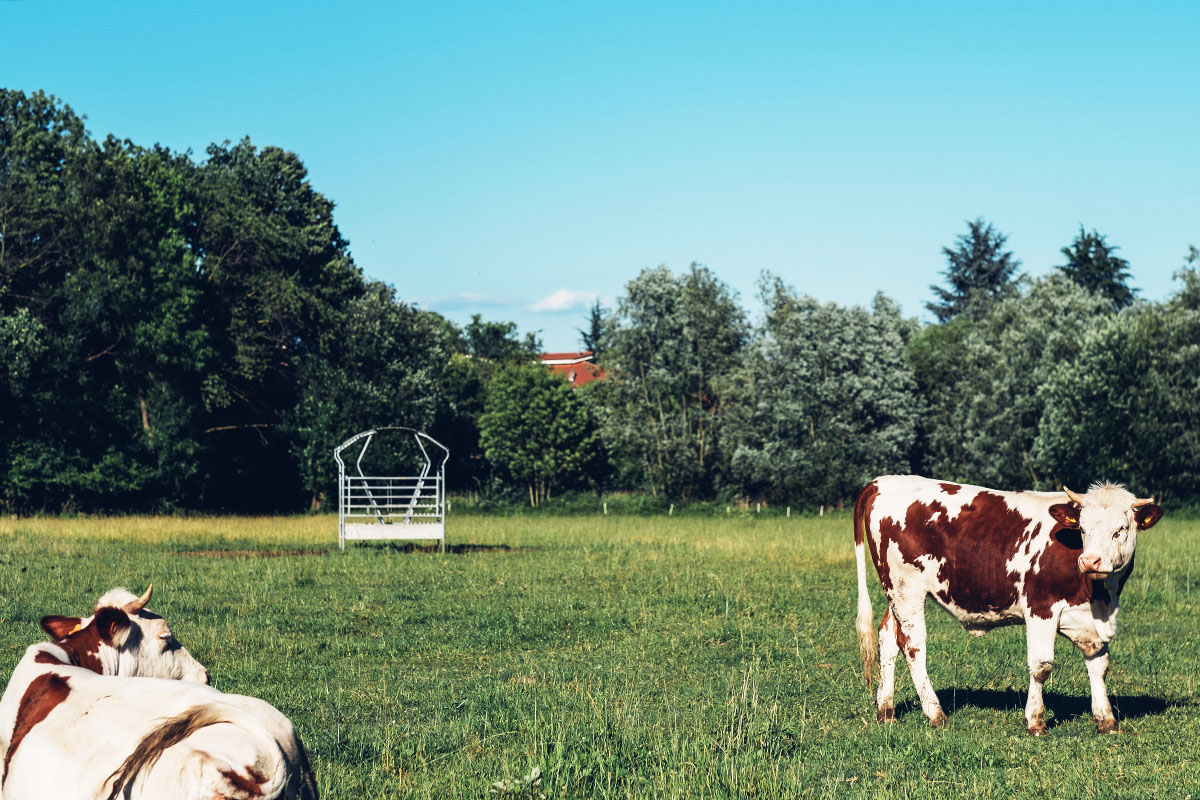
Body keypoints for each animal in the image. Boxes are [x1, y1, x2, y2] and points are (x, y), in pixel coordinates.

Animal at [854, 479, 1161, 734]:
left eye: (1120, 530)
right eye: (1083, 529)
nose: (1090, 560)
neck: (1099, 596)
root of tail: (883, 481)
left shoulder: (1091, 620)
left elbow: (1099, 664)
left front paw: (1106, 719)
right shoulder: (1040, 607)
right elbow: (1041, 665)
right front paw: (1035, 721)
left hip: (895, 593)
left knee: (888, 637)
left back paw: (886, 711)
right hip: (907, 589)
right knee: (912, 645)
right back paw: (935, 713)